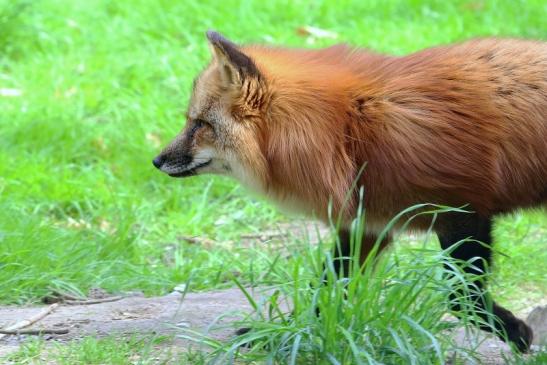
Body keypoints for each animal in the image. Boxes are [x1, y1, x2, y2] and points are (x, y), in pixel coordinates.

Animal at [154, 31, 547, 350]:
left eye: (199, 124)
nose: (156, 161)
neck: (349, 132)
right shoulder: (368, 224)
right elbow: (326, 293)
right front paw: (284, 336)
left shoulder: (462, 211)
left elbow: (461, 297)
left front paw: (515, 332)